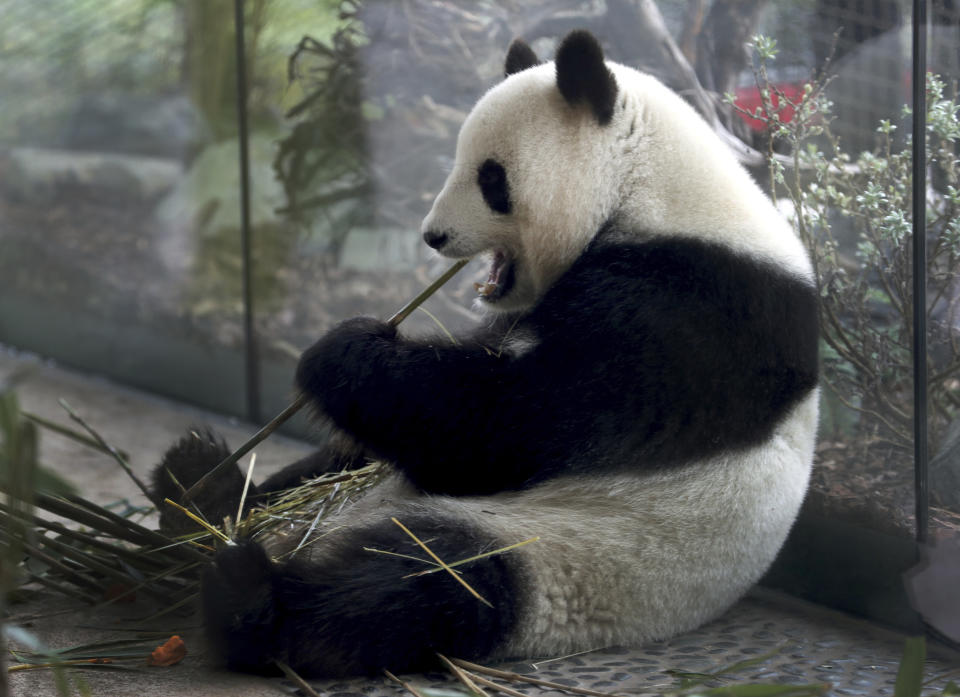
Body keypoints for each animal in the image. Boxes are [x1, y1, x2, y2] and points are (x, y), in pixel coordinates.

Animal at [154, 29, 820, 676]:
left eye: (491, 178)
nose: (434, 236)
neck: (654, 188)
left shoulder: (688, 316)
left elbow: (511, 426)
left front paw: (338, 351)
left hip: (561, 552)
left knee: (420, 583)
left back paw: (247, 594)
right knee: (326, 474)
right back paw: (197, 486)